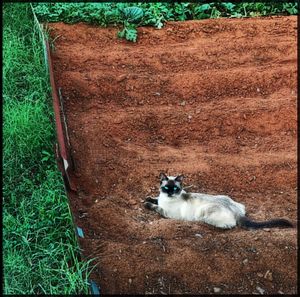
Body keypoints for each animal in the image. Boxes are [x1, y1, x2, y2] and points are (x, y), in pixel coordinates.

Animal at [144, 171, 294, 229]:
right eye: (165, 188)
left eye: (175, 188)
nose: (170, 193)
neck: (166, 200)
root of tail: (236, 210)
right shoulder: (160, 199)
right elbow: (155, 199)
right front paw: (148, 198)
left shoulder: (168, 213)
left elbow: (156, 207)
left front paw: (147, 204)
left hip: (204, 212)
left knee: (229, 225)